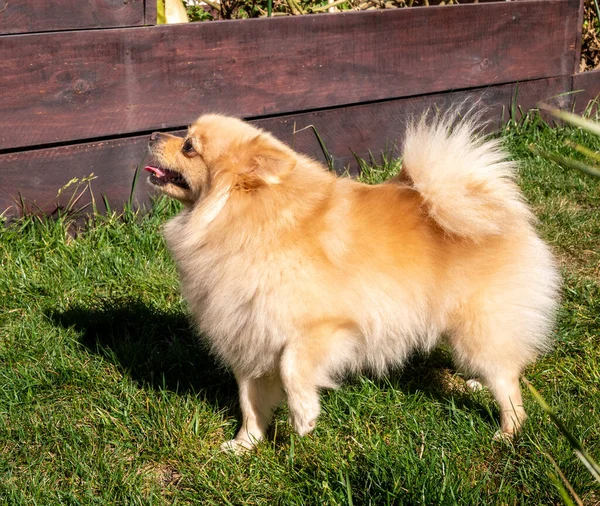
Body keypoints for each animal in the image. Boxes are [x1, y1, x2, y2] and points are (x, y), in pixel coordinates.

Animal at [143, 112, 560, 452]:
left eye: (189, 146)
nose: (152, 133)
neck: (244, 218)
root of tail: (497, 207)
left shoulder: (324, 328)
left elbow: (293, 369)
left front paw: (303, 416)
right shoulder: (248, 336)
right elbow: (250, 402)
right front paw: (245, 444)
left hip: (479, 326)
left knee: (507, 379)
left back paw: (507, 431)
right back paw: (475, 385)